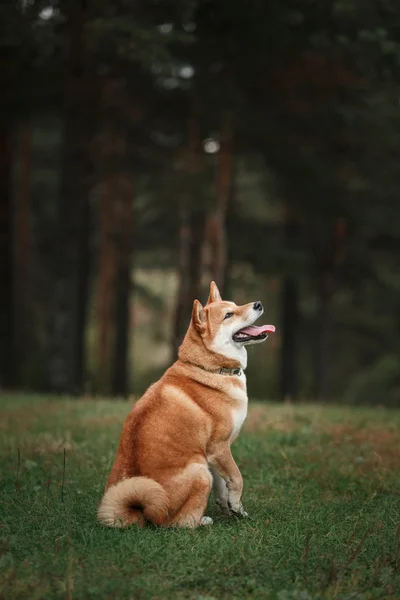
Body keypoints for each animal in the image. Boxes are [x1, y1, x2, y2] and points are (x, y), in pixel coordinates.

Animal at [98, 282, 276, 528]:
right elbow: (237, 478)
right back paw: (202, 521)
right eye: (228, 315)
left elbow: (222, 486)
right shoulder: (220, 447)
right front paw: (236, 505)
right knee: (178, 523)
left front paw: (232, 509)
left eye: (235, 305)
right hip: (199, 471)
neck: (211, 369)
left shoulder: (212, 454)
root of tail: (140, 513)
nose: (258, 304)